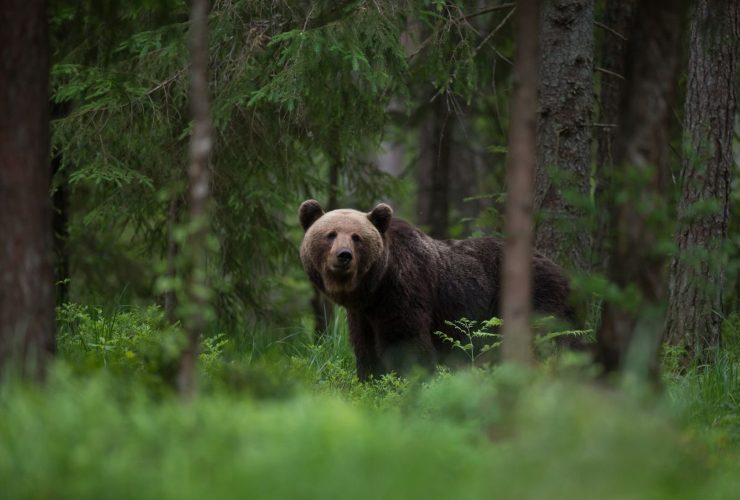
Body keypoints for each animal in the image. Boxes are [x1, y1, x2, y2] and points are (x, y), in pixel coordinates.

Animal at [298, 199, 576, 378]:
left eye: (357, 237)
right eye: (331, 234)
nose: (344, 256)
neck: (373, 288)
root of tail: (560, 269)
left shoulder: (403, 291)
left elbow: (405, 342)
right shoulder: (363, 315)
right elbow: (365, 348)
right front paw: (370, 381)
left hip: (535, 296)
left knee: (543, 340)